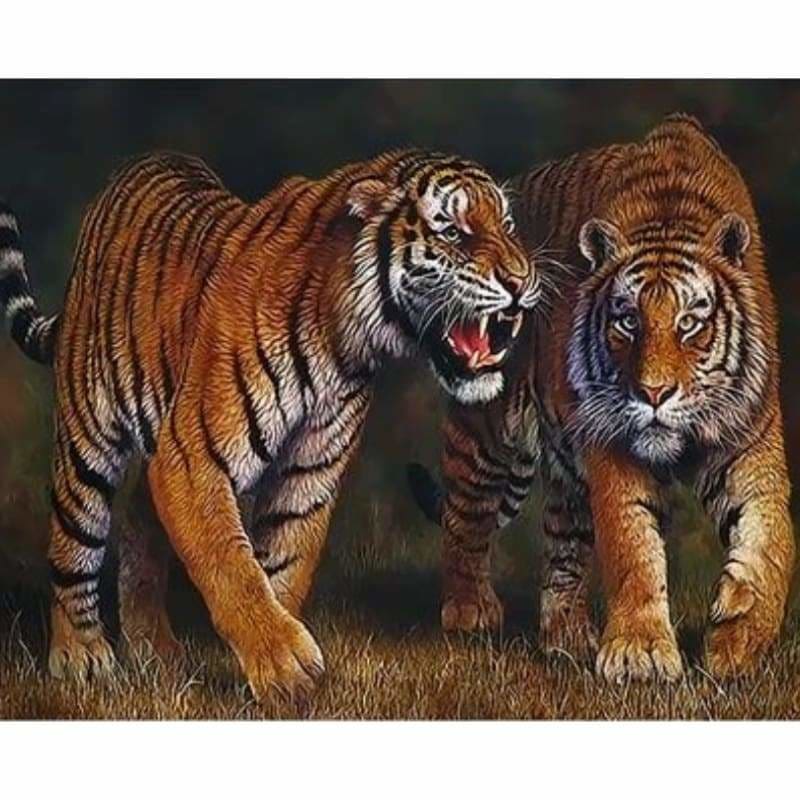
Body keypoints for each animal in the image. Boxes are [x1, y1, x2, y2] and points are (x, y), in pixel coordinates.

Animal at [0, 150, 537, 700]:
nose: (524, 282)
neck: (347, 339)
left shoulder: (309, 469)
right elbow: (230, 563)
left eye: (508, 225)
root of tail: (142, 163)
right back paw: (82, 654)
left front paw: (278, 663)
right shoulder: (192, 457)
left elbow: (285, 562)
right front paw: (285, 664)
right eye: (453, 231)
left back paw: (155, 650)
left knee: (139, 520)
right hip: (89, 433)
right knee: (74, 540)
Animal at [408, 114, 795, 682]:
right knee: (466, 517)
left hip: (566, 479)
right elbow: (633, 547)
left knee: (561, 550)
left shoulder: (749, 445)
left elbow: (770, 541)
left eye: (689, 323)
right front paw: (641, 656)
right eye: (627, 321)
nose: (654, 392)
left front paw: (737, 642)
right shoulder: (613, 449)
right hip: (487, 434)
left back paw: (565, 638)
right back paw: (469, 613)